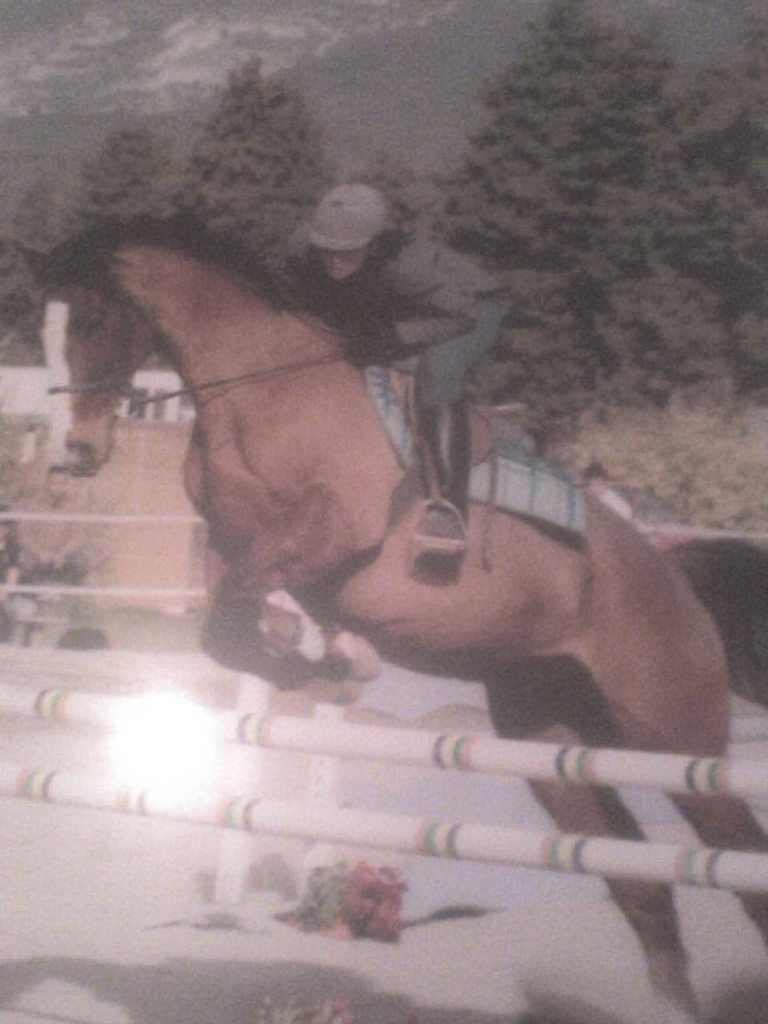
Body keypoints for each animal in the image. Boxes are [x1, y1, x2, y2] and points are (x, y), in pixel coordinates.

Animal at [36, 218, 768, 1019]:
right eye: (46, 332)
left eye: (94, 321)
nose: (72, 453)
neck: (262, 390)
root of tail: (677, 580)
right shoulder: (230, 547)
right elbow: (226, 630)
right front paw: (324, 662)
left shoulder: (333, 530)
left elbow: (240, 615)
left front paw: (334, 662)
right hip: (552, 741)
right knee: (636, 880)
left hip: (674, 742)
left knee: (735, 857)